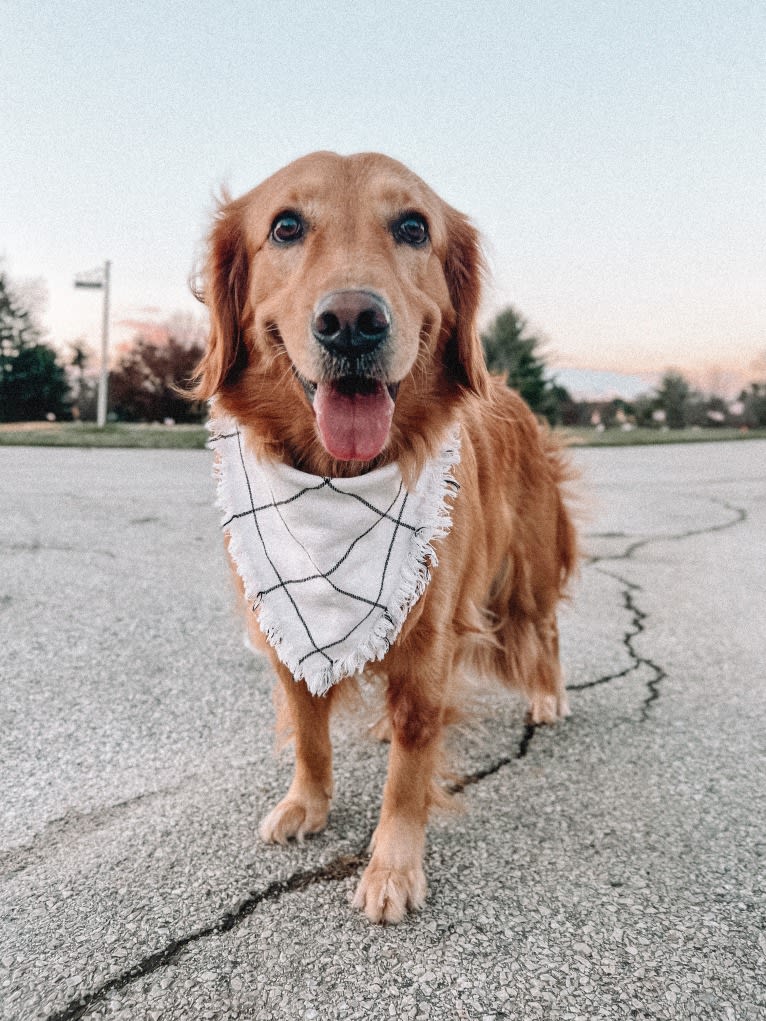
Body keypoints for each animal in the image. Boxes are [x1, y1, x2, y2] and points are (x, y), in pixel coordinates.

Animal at [190, 151, 576, 927]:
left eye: (413, 227)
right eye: (285, 226)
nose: (351, 322)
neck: (337, 479)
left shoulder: (429, 645)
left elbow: (409, 770)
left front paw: (392, 866)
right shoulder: (285, 631)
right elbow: (310, 733)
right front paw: (307, 803)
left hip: (524, 569)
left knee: (544, 628)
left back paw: (547, 695)